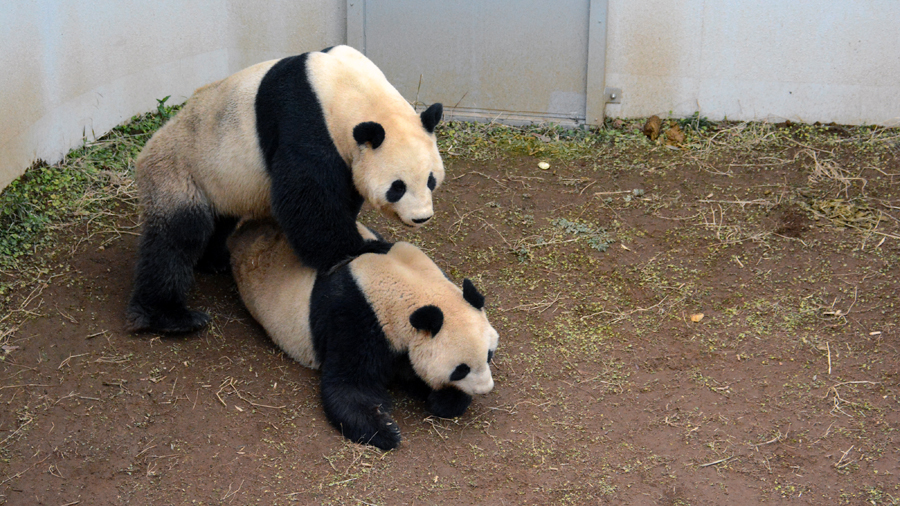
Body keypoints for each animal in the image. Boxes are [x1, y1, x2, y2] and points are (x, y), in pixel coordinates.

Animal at [127, 45, 446, 334]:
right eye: (398, 187)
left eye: (431, 180)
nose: (421, 217)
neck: (350, 88)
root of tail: (144, 154)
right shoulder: (303, 121)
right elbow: (307, 196)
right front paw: (358, 249)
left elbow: (342, 193)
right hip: (179, 172)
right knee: (177, 239)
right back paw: (171, 317)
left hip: (218, 183)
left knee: (219, 221)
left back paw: (213, 261)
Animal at [227, 219, 500, 448]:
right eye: (461, 369)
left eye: (489, 355)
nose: (485, 389)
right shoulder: (356, 317)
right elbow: (350, 384)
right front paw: (385, 428)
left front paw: (444, 399)